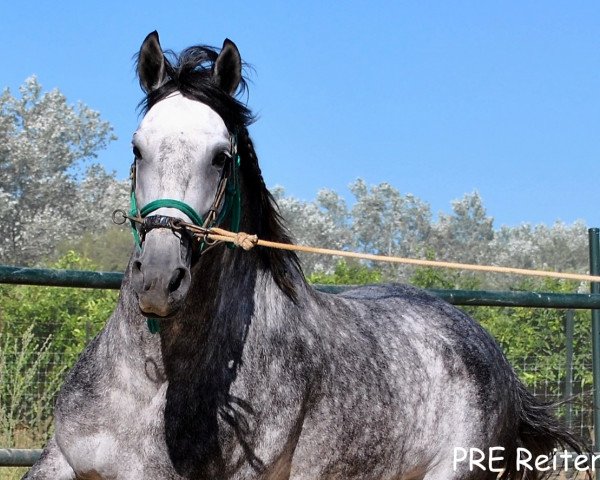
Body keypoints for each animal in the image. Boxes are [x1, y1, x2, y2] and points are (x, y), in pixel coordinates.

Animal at [22, 31, 584, 480]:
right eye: (138, 148)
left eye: (220, 156)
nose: (160, 279)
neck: (156, 382)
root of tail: (491, 353)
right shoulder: (63, 460)